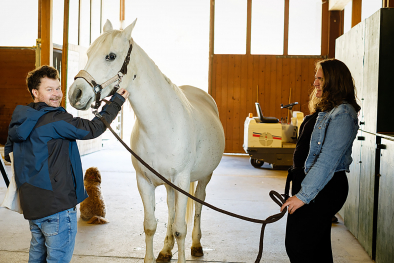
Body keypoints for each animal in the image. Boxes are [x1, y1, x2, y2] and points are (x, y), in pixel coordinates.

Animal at [67, 19, 225, 262]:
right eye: (89, 53)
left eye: (111, 56)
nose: (76, 94)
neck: (161, 126)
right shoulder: (144, 181)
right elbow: (151, 225)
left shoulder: (181, 180)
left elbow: (181, 228)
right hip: (169, 185)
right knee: (170, 208)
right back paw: (166, 250)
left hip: (203, 177)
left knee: (198, 204)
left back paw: (197, 245)